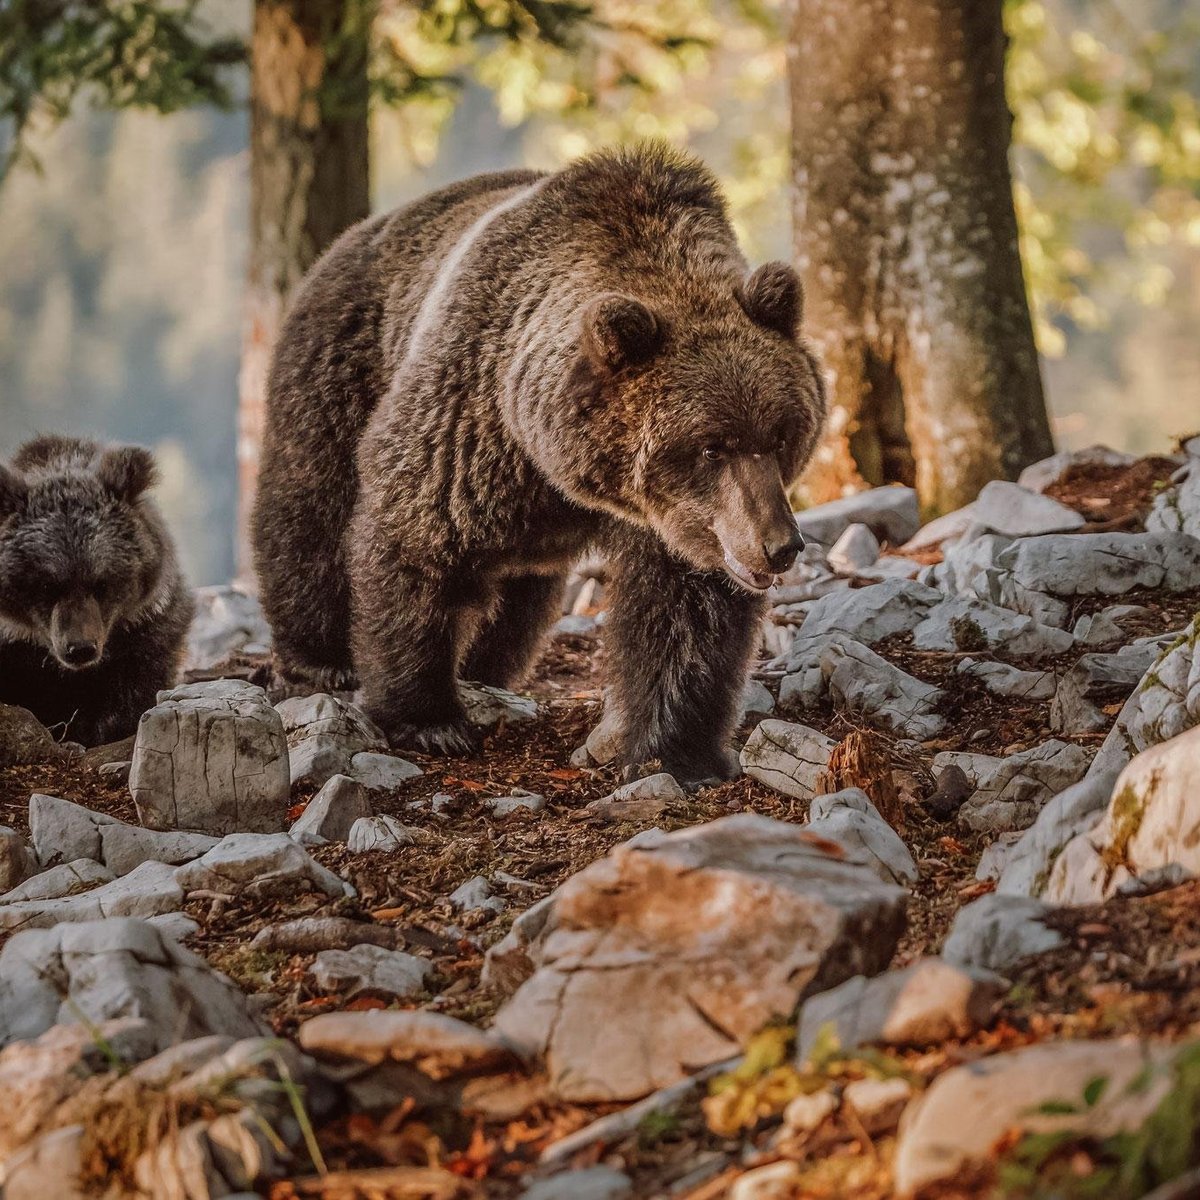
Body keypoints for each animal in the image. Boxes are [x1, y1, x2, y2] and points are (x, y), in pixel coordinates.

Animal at [253, 145, 825, 782]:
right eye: (710, 446)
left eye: (780, 436)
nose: (779, 545)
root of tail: (352, 236)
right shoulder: (470, 417)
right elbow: (414, 536)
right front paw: (428, 720)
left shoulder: (675, 523)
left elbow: (686, 616)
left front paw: (677, 750)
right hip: (341, 363)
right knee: (310, 510)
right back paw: (320, 658)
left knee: (517, 601)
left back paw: (484, 666)